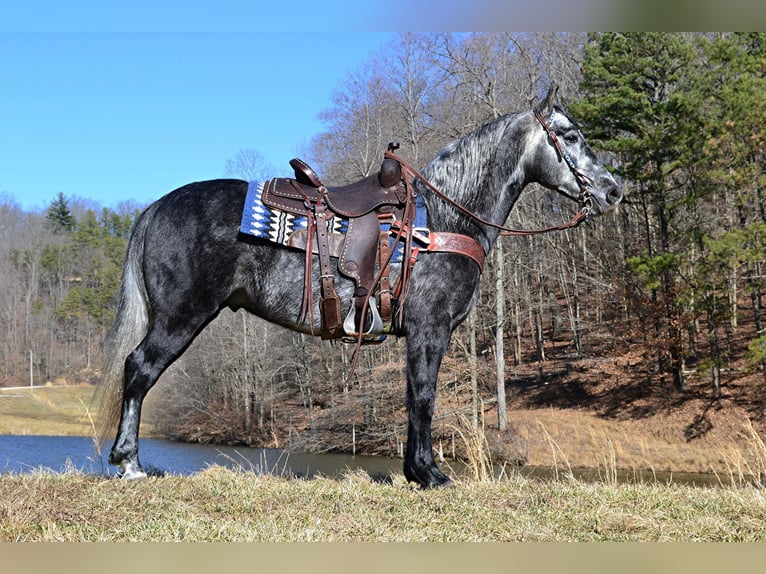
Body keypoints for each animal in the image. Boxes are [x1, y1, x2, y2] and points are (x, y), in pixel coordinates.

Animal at [99, 85, 624, 490]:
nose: (613, 190)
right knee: (139, 369)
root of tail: (156, 208)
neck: (444, 219)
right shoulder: (430, 329)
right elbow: (424, 396)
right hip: (181, 316)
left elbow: (413, 396)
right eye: (570, 136)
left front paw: (416, 472)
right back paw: (129, 463)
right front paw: (430, 474)